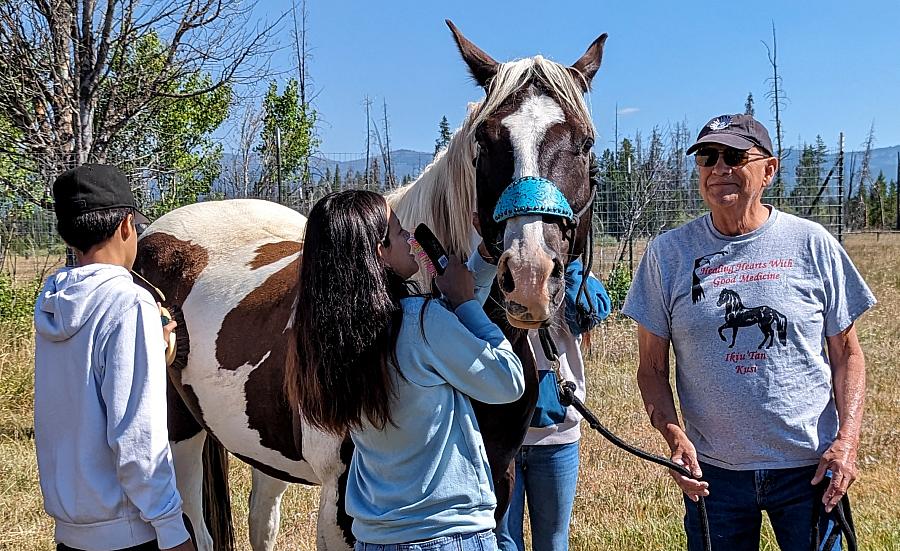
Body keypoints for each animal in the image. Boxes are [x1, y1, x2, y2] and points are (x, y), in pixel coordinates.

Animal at [134, 21, 604, 551]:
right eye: (486, 140)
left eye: (585, 143)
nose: (529, 276)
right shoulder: (341, 502)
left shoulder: (498, 484)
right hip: (178, 433)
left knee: (261, 518)